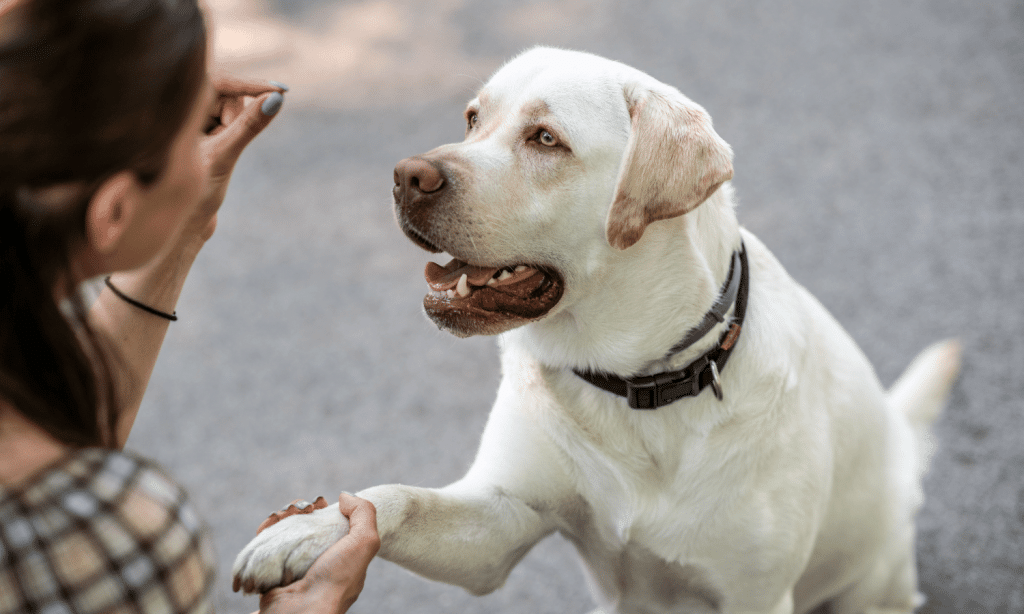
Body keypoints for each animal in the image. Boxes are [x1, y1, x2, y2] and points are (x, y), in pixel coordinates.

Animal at [235, 48, 962, 614]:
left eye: (546, 139)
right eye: (473, 119)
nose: (405, 175)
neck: (636, 383)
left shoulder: (754, 593)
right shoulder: (499, 522)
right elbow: (395, 500)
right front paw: (306, 533)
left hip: (873, 581)